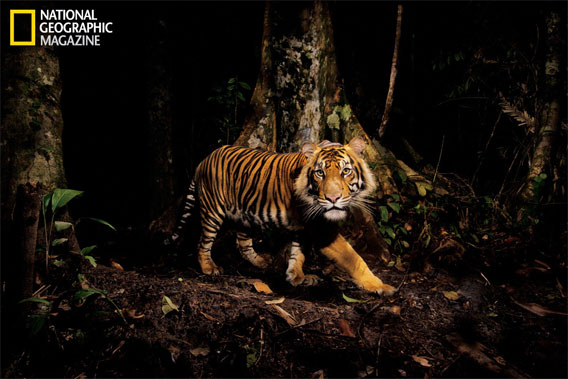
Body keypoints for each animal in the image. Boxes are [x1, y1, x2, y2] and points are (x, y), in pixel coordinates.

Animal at [164, 137, 394, 296]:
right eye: (319, 173)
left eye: (346, 171)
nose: (332, 198)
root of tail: (203, 160)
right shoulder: (320, 229)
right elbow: (353, 258)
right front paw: (380, 286)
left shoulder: (303, 227)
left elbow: (298, 253)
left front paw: (296, 277)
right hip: (213, 211)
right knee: (203, 242)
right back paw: (209, 268)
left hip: (244, 215)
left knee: (242, 243)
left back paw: (261, 262)